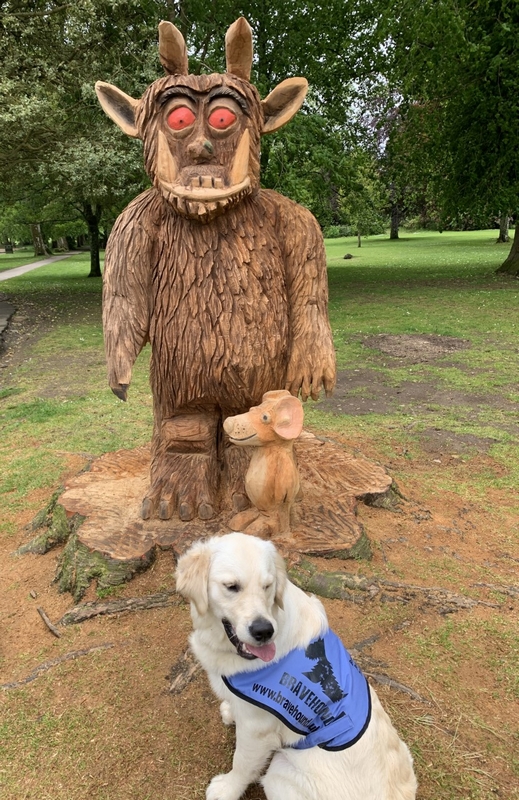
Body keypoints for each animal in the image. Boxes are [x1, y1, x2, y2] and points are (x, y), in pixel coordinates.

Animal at [177, 532, 416, 800]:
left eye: (267, 586)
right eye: (231, 586)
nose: (264, 631)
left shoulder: (257, 730)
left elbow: (242, 762)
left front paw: (227, 788)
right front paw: (230, 712)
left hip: (278, 772)